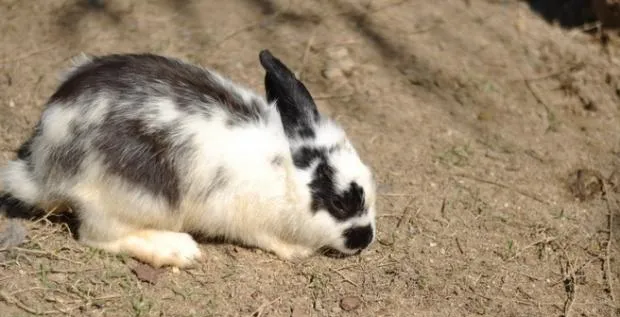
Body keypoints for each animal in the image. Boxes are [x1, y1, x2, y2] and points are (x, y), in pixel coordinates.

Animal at [0, 49, 378, 266]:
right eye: (341, 203)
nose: (365, 239)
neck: (286, 174)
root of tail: (43, 167)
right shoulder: (248, 220)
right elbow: (268, 239)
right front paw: (298, 251)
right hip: (129, 198)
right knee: (98, 236)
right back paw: (178, 250)